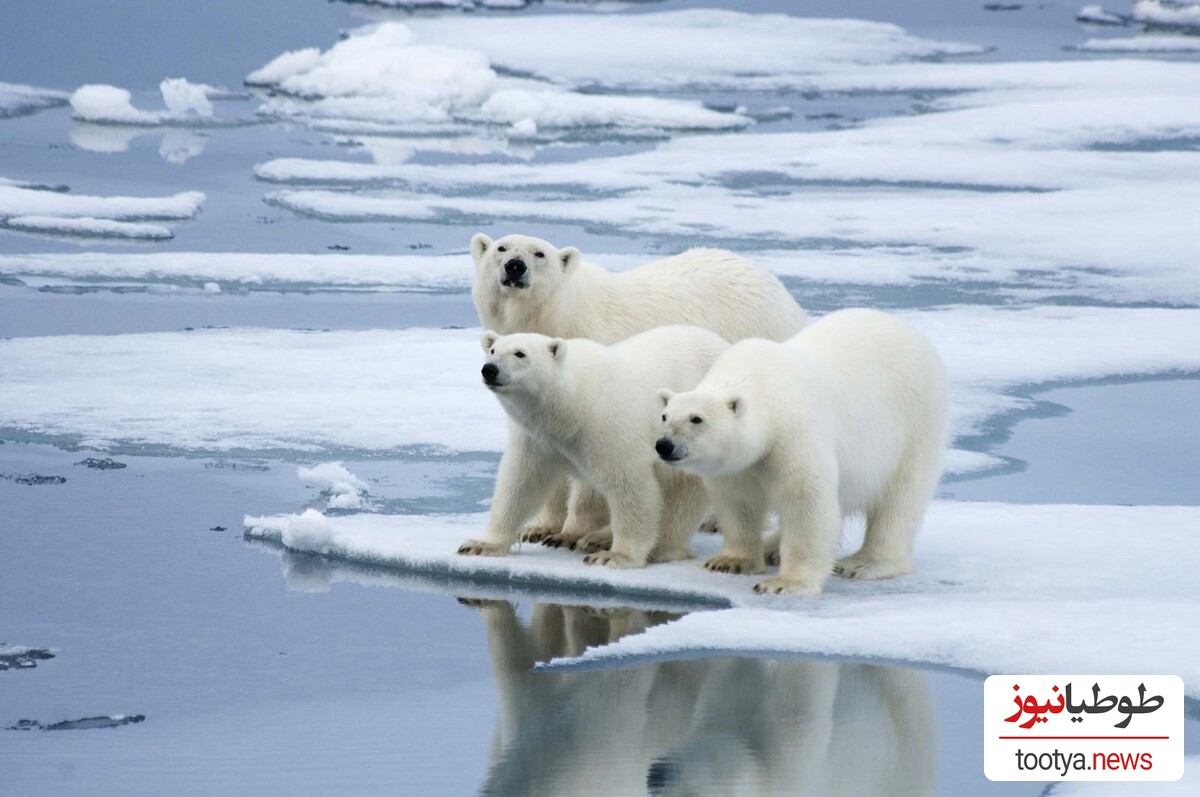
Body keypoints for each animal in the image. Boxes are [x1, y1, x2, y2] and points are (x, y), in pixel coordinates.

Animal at [456, 324, 720, 566]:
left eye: (520, 353)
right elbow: (520, 482)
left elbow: (630, 486)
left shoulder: (608, 427)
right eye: (492, 350)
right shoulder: (537, 438)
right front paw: (481, 544)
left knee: (686, 492)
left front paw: (617, 555)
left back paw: (659, 547)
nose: (490, 369)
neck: (573, 404)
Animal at [470, 230, 806, 542]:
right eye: (501, 248)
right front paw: (540, 528)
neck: (561, 315)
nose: (515, 267)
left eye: (539, 253)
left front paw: (572, 532)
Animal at [657, 307, 945, 595]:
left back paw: (863, 563)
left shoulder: (794, 436)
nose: (664, 445)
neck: (763, 388)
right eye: (664, 416)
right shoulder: (737, 466)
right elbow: (737, 501)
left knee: (899, 500)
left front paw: (784, 583)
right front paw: (729, 561)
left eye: (696, 419)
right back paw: (772, 547)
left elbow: (806, 502)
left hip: (916, 423)